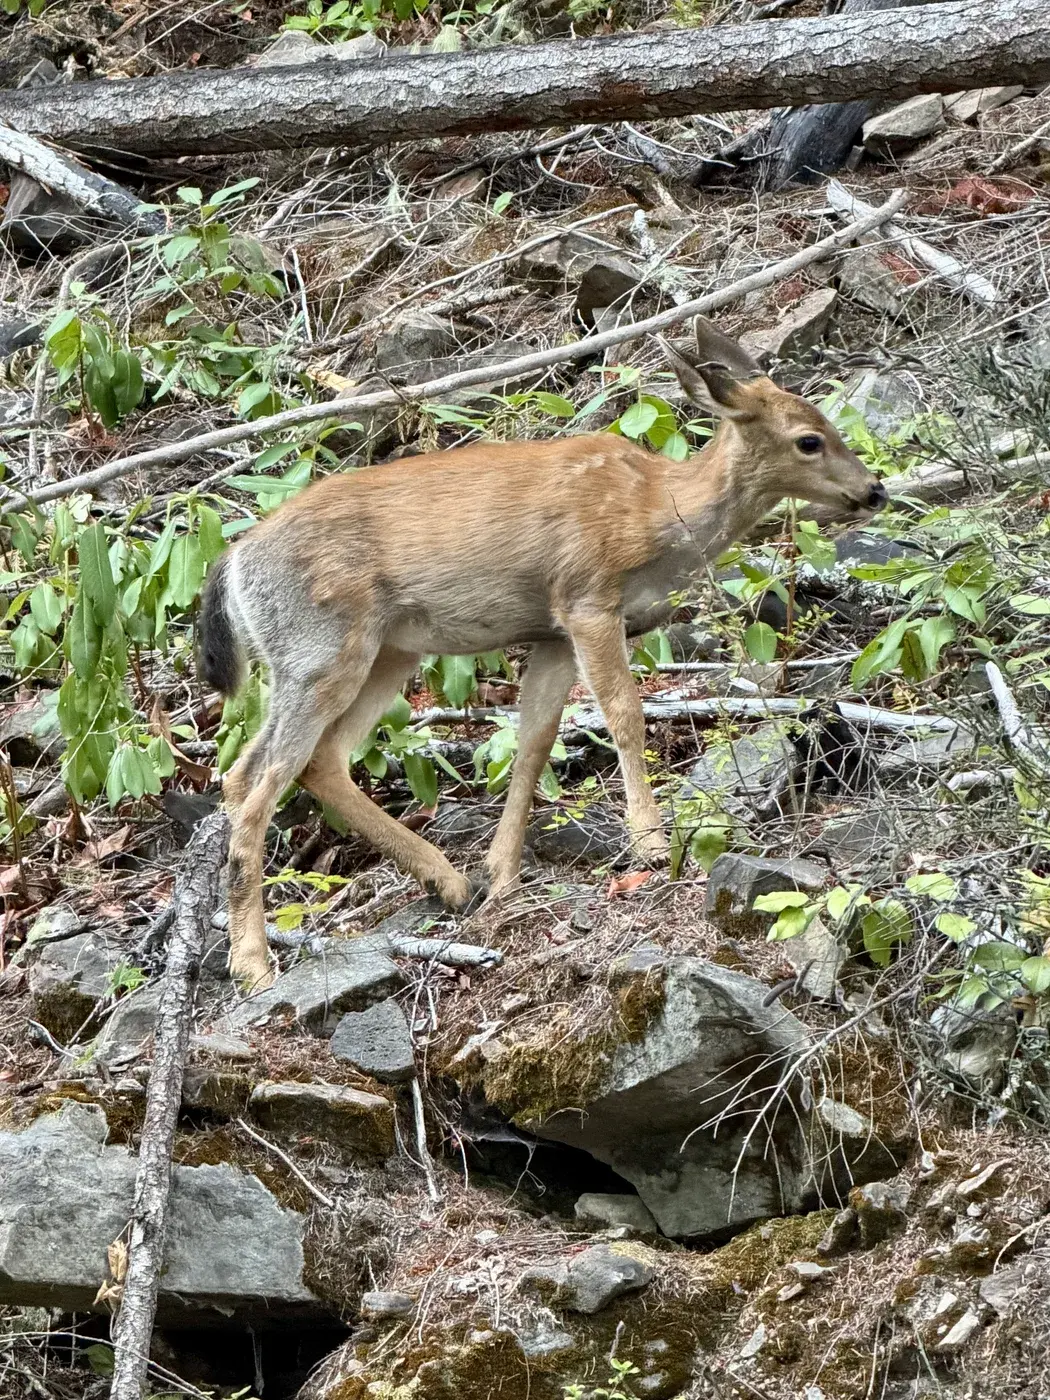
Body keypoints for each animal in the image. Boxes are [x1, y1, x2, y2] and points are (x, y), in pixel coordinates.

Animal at [198, 317, 888, 992]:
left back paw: (448, 882)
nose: (875, 491)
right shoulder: (587, 598)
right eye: (809, 440)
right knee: (251, 778)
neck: (656, 515)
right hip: (318, 647)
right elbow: (625, 713)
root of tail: (232, 564)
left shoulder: (552, 633)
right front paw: (649, 842)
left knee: (314, 762)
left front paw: (502, 873)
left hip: (386, 650)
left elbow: (533, 743)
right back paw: (253, 962)